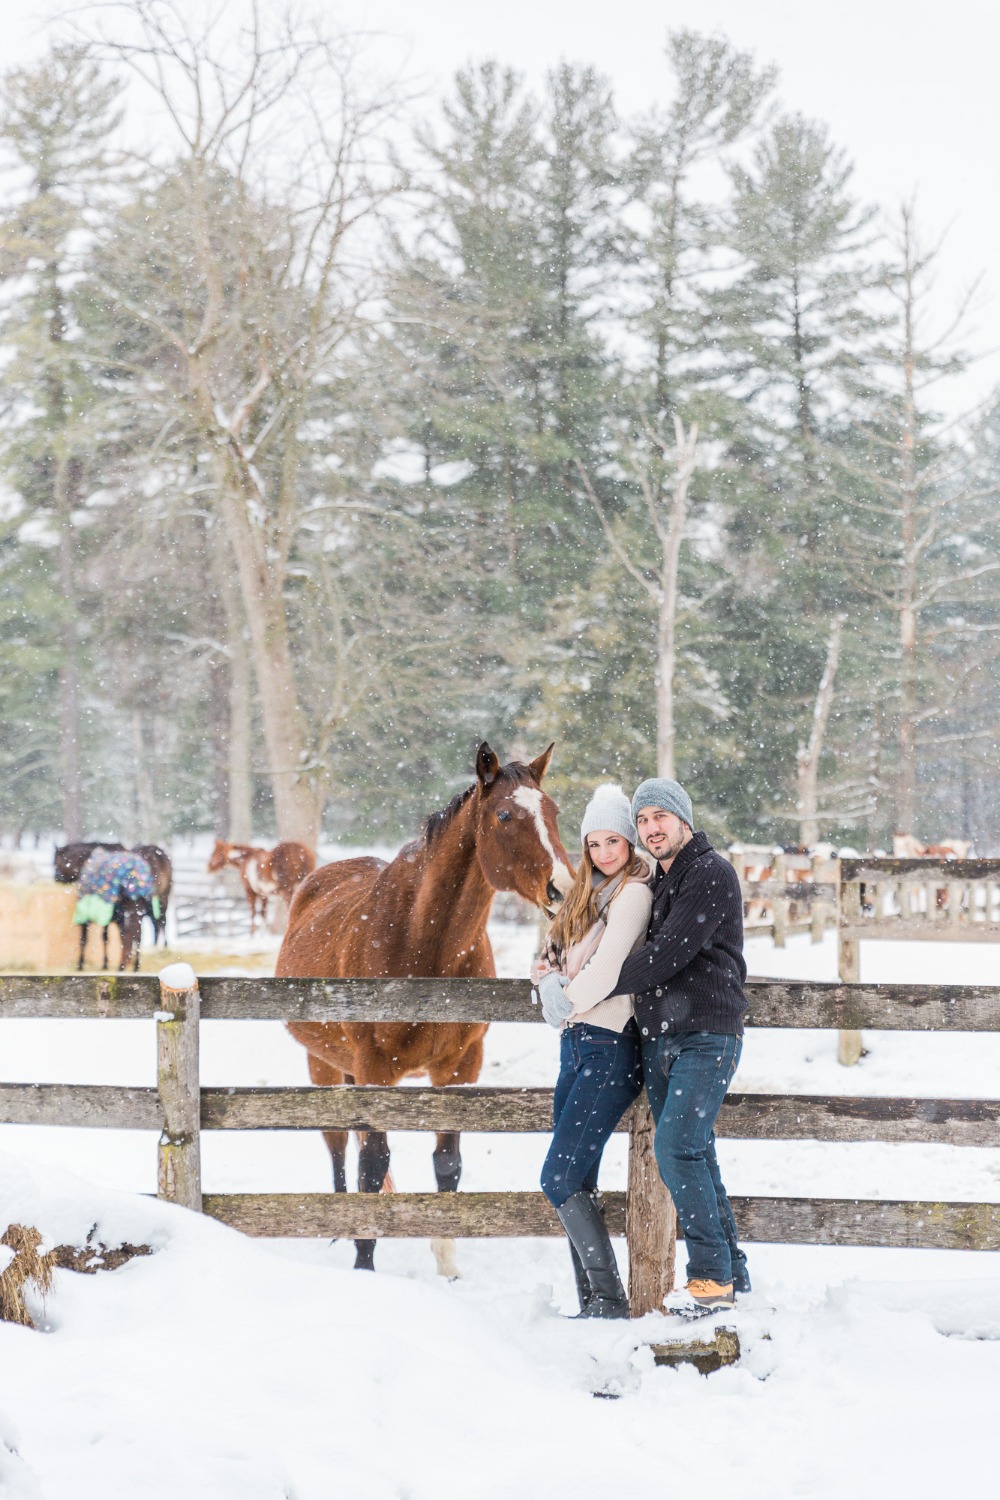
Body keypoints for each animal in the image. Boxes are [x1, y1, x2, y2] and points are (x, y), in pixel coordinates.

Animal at [277, 744, 575, 1272]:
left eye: (553, 811)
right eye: (505, 816)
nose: (563, 888)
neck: (423, 945)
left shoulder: (458, 1067)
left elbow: (447, 1163)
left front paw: (448, 1264)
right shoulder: (374, 1070)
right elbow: (372, 1163)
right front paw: (364, 1264)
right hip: (324, 1065)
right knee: (337, 1143)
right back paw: (338, 1227)